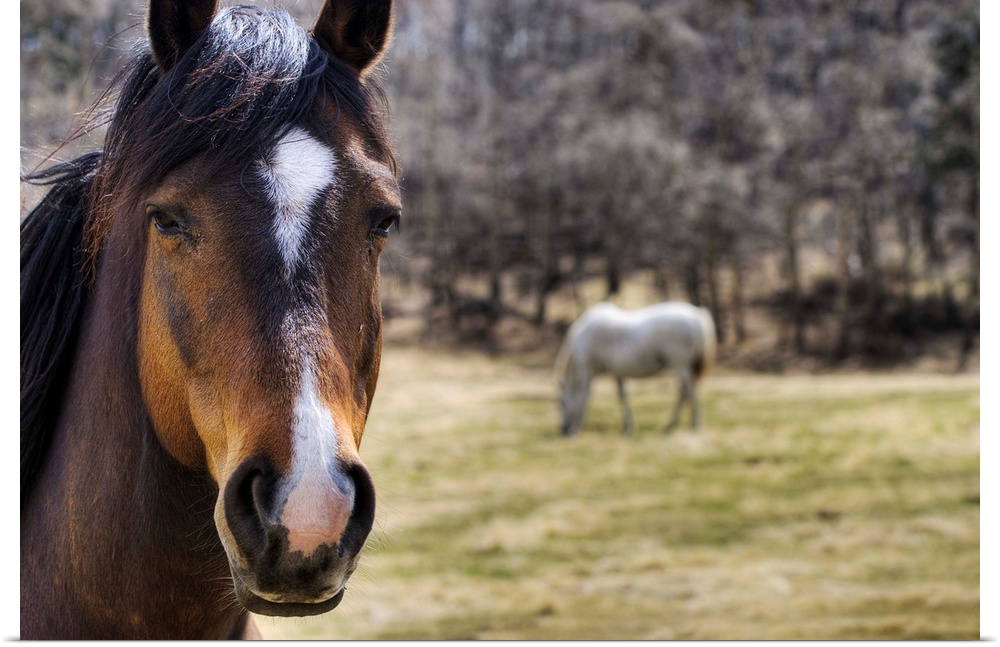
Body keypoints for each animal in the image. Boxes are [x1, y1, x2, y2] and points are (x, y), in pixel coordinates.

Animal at [552, 302, 716, 436]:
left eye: (561, 403)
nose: (564, 429)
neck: (583, 337)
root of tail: (696, 314)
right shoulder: (617, 373)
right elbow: (621, 396)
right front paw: (627, 427)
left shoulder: (586, 371)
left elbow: (583, 397)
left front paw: (577, 428)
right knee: (687, 391)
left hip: (680, 365)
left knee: (687, 392)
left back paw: (684, 426)